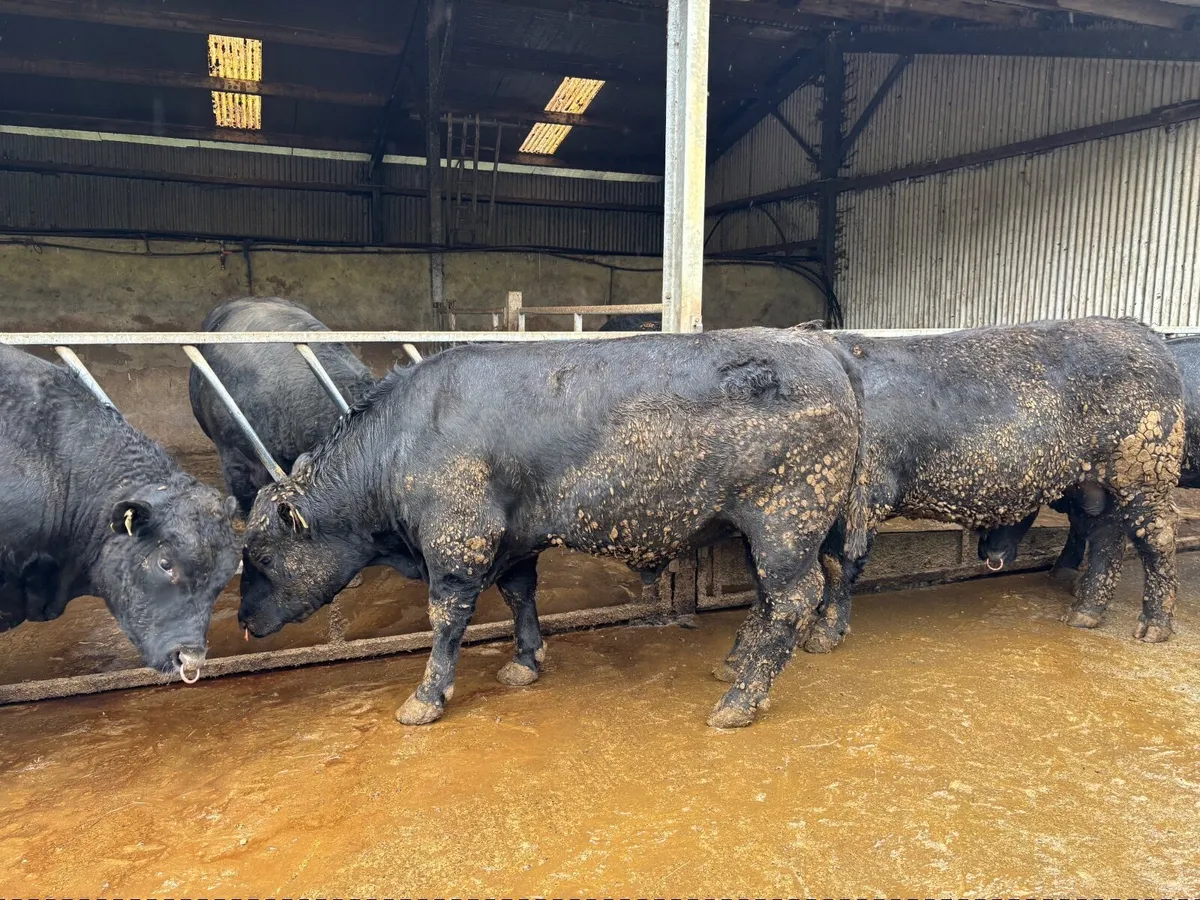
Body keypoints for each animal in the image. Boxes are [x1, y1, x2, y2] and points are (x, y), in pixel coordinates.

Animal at [237, 327, 869, 728]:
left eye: (262, 556)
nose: (242, 620)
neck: (402, 440)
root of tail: (820, 344)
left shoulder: (457, 542)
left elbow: (445, 621)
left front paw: (426, 697)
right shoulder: (514, 543)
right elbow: (520, 595)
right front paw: (525, 661)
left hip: (785, 522)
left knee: (793, 599)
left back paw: (741, 700)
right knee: (779, 596)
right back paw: (737, 668)